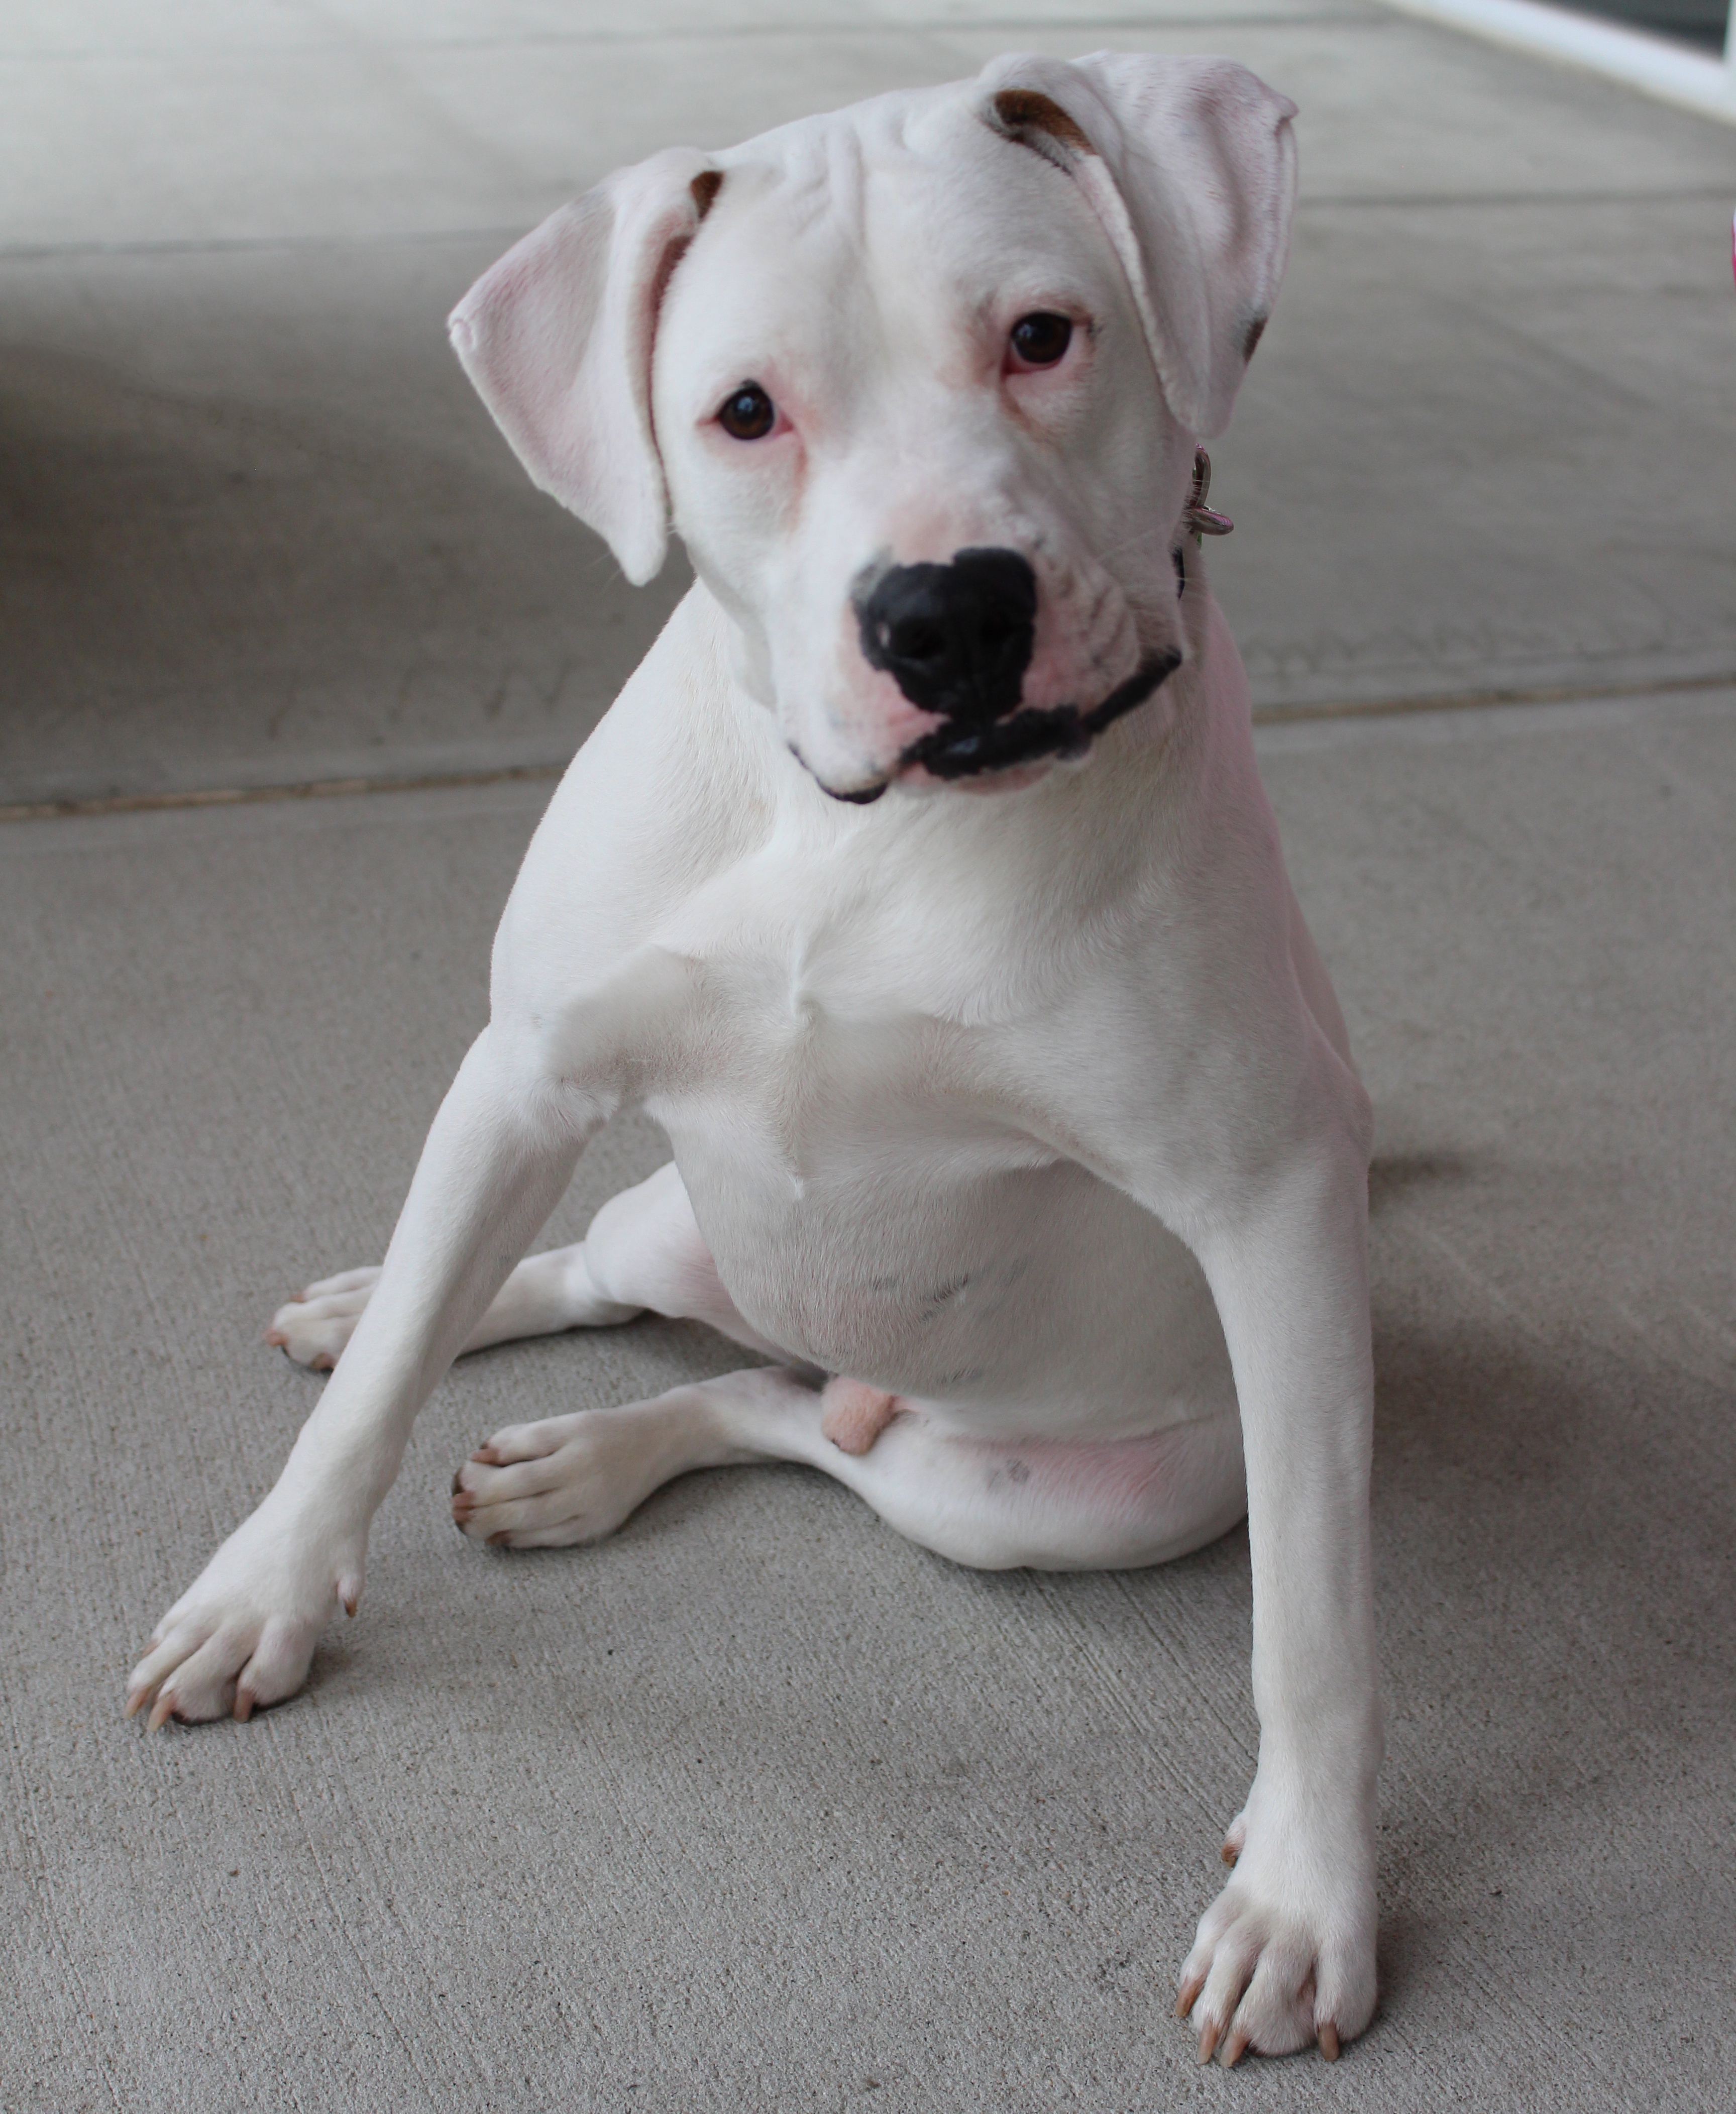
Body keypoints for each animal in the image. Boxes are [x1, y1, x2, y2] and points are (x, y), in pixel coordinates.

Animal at [126, 52, 1380, 2066]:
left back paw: (592, 1459)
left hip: (1048, 1502)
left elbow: (1318, 1620)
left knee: (779, 1416)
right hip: (676, 1217)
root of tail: (866, 1373)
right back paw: (430, 1327)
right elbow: (372, 1397)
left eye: (1046, 335)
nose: (947, 613)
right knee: (608, 1291)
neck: (866, 830)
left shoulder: (1273, 1210)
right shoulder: (523, 1071)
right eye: (743, 412)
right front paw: (264, 1590)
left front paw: (1305, 1889)